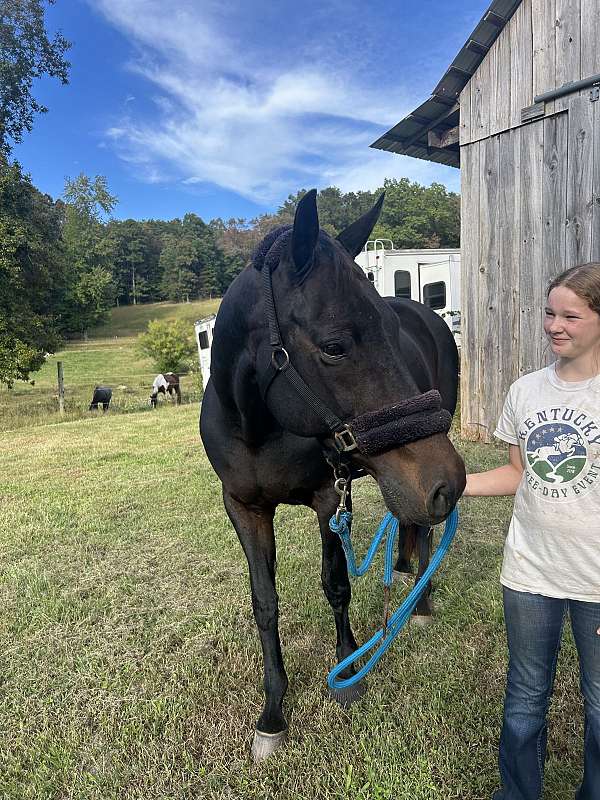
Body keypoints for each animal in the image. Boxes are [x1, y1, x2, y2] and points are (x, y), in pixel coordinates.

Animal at [200, 190, 465, 760]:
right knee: (408, 521)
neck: (256, 426)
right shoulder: (244, 508)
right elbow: (265, 603)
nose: (447, 482)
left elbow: (336, 583)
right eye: (335, 346)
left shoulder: (328, 497)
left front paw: (349, 667)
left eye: (389, 330)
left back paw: (421, 598)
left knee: (423, 529)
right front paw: (273, 712)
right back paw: (403, 568)